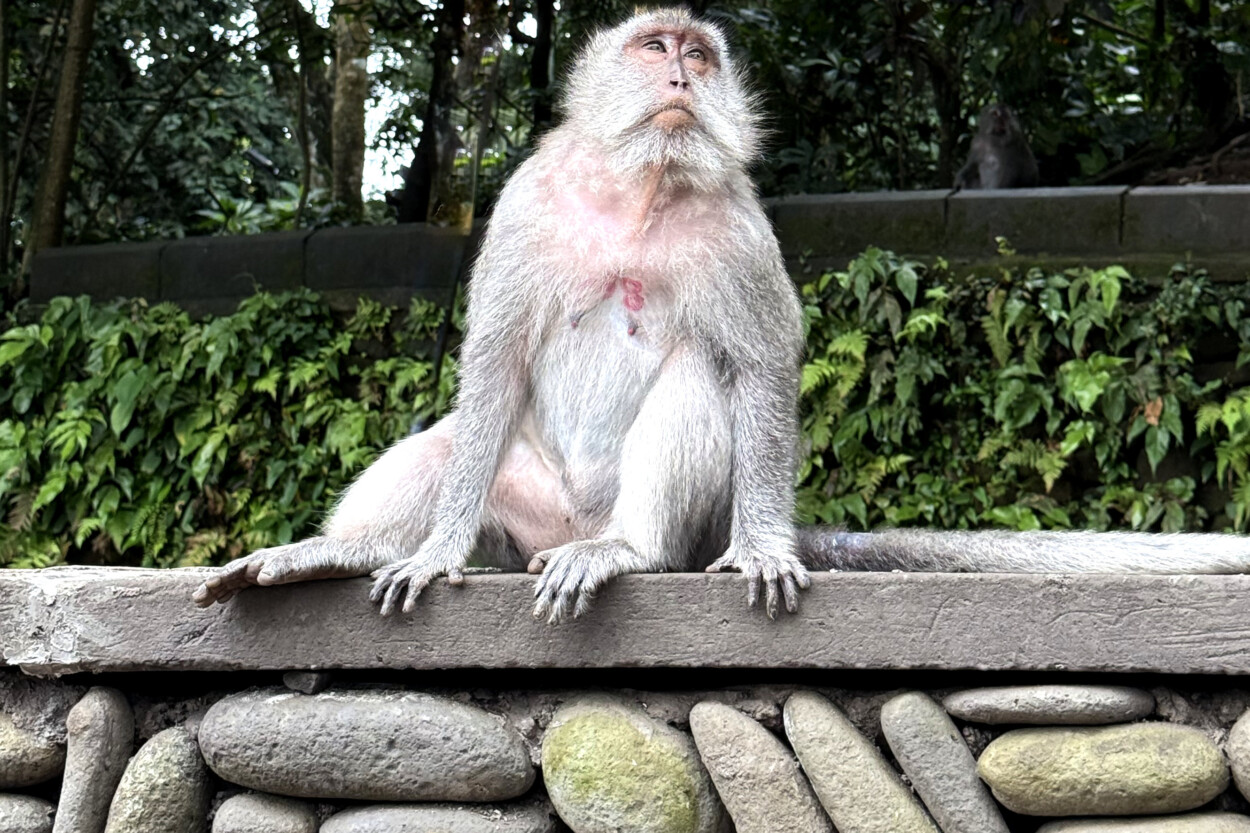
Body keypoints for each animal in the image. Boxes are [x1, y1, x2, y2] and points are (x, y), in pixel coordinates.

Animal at [193, 11, 1250, 624]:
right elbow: (491, 361)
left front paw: (767, 543)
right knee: (455, 440)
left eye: (700, 56)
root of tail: (563, 530)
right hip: (519, 505)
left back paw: (628, 550)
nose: (681, 78)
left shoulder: (740, 227)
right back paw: (344, 551)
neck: (639, 192)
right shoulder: (526, 200)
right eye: (655, 49)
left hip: (669, 518)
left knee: (702, 379)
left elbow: (764, 363)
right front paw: (434, 549)